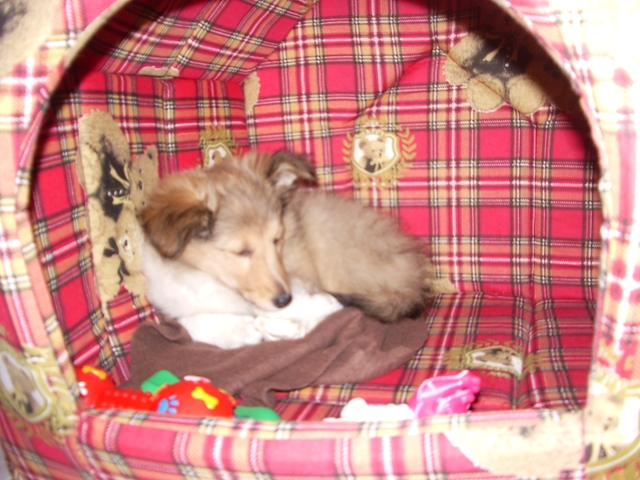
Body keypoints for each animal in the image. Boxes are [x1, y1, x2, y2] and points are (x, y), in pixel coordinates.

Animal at [140, 151, 434, 349]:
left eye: (277, 239)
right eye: (241, 252)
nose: (284, 300)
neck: (206, 277)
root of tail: (413, 280)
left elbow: (320, 308)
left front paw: (277, 325)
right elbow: (187, 324)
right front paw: (241, 331)